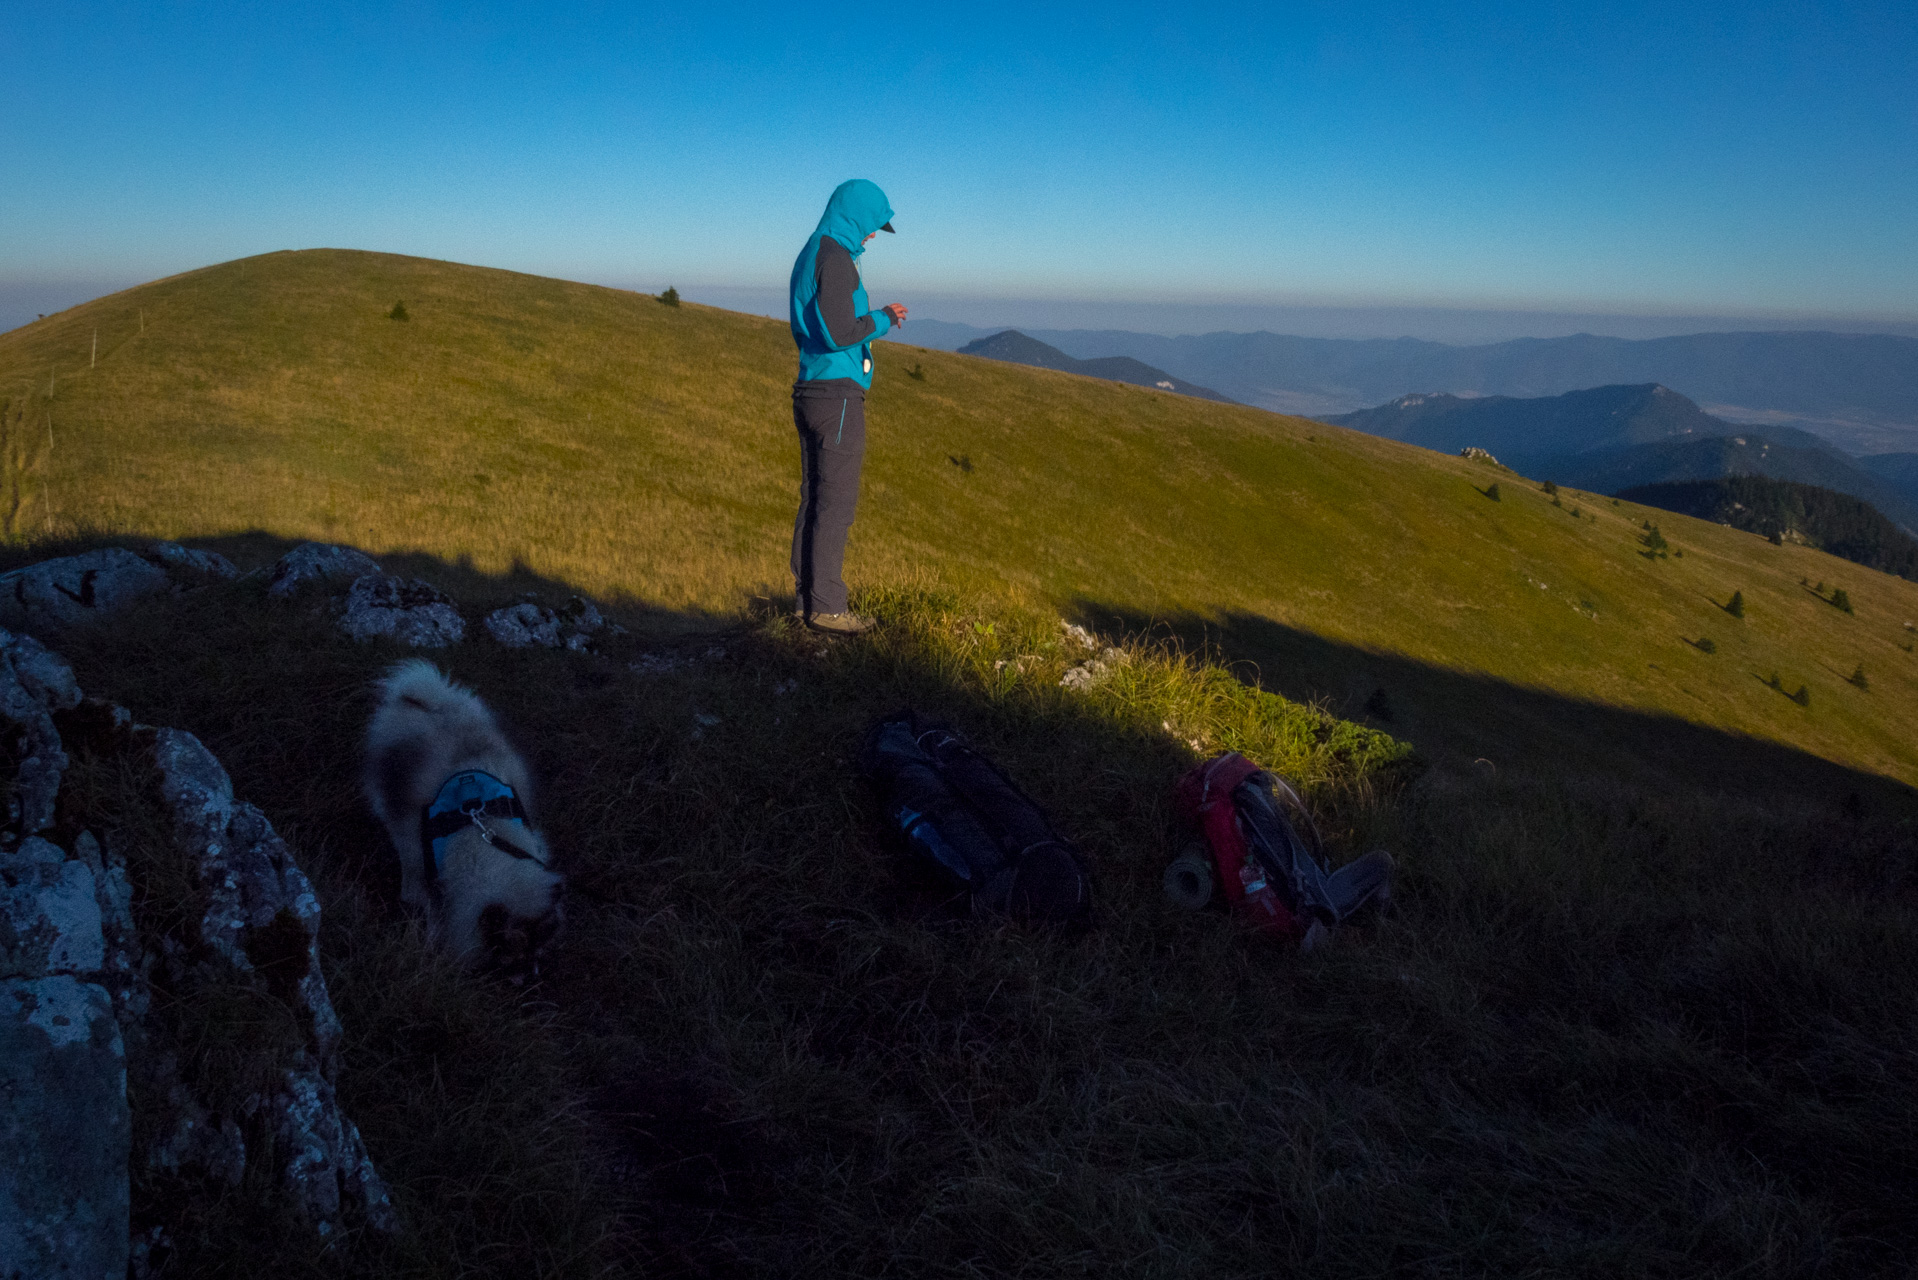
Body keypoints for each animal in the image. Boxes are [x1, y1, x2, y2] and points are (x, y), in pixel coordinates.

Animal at [362, 667, 563, 974]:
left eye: (537, 954)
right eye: (513, 959)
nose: (533, 977)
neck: (481, 831)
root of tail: (435, 701)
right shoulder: (423, 857)